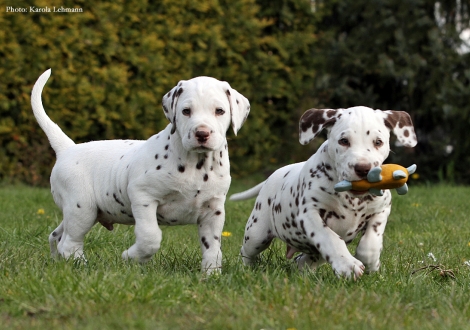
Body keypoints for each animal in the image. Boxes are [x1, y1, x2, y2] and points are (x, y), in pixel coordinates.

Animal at [31, 69, 252, 274]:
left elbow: (213, 248)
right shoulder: (143, 196)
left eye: (219, 111)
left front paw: (211, 274)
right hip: (82, 208)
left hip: (78, 213)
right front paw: (131, 257)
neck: (196, 164)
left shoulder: (213, 210)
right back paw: (84, 267)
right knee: (69, 244)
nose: (202, 133)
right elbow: (150, 237)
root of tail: (68, 148)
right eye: (186, 111)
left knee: (56, 236)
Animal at [229, 107, 416, 280]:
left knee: (305, 260)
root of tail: (272, 176)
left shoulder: (382, 208)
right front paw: (347, 265)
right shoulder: (309, 214)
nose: (363, 169)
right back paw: (247, 269)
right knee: (247, 251)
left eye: (378, 142)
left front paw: (371, 262)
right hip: (256, 233)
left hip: (310, 253)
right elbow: (329, 238)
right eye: (343, 141)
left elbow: (371, 241)